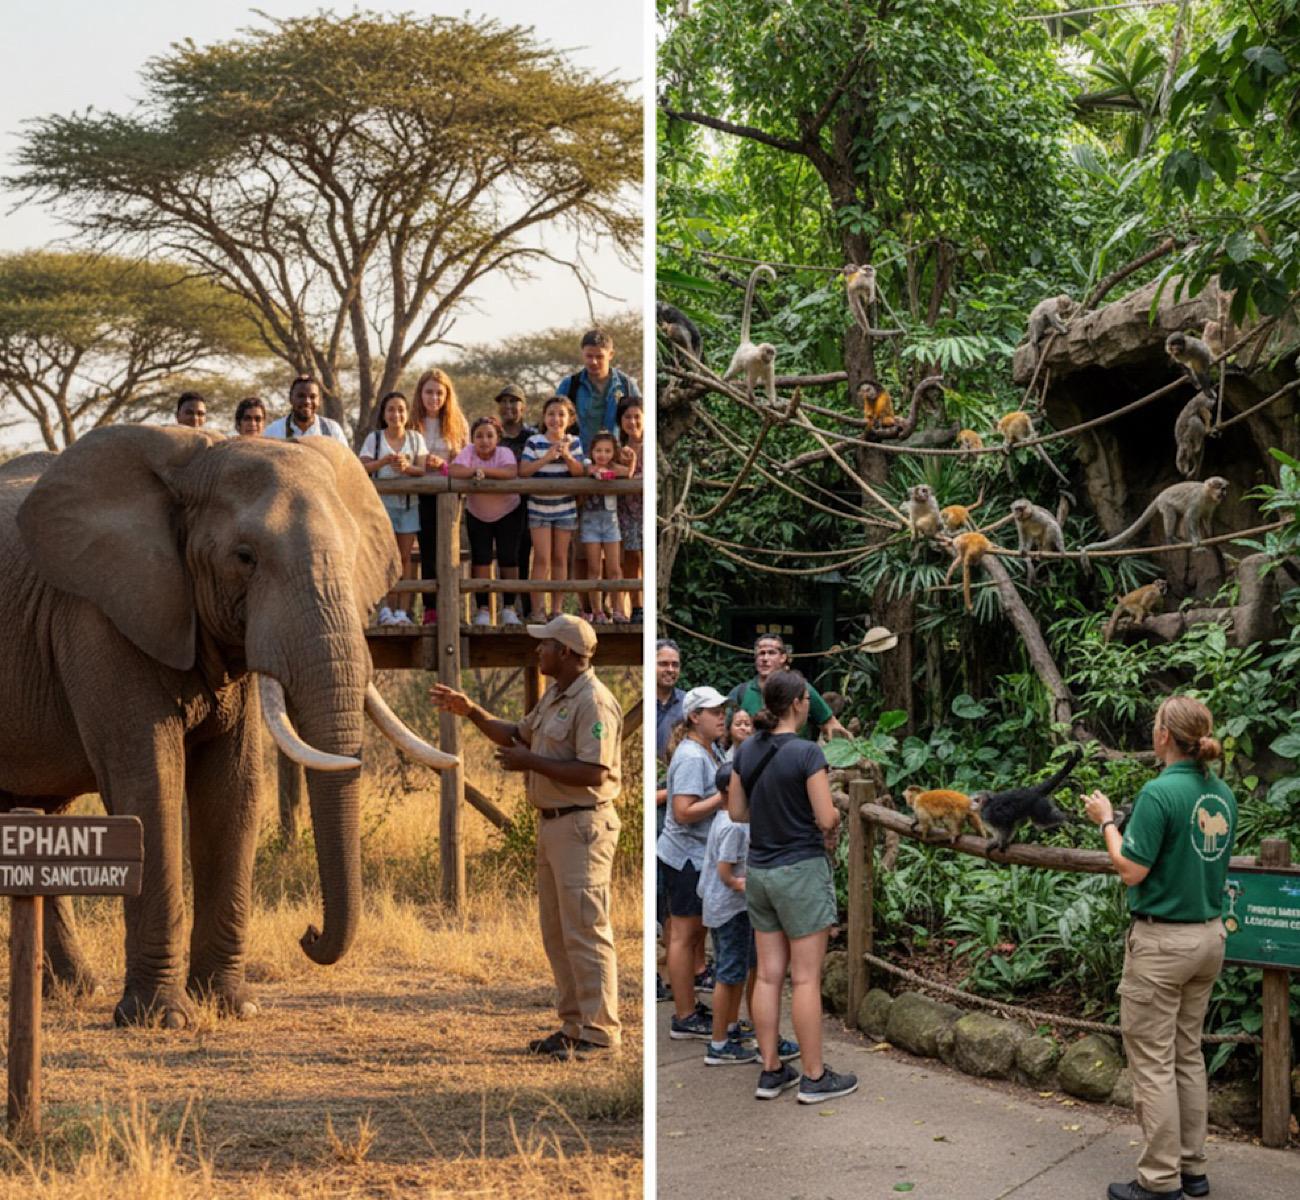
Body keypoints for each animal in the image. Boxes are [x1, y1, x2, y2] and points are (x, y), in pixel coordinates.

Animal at [0, 426, 456, 1027]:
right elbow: (150, 785)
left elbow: (232, 789)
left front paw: (233, 1005)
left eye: (353, 556)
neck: (197, 455)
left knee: (38, 814)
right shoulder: (97, 617)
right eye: (245, 558)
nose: (308, 933)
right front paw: (160, 1019)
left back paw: (72, 989)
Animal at [724, 264, 778, 407]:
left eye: (772, 353)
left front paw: (772, 403)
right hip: (738, 358)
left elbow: (769, 384)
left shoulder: (769, 367)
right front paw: (751, 395)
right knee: (735, 370)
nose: (771, 356)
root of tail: (746, 344)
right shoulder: (753, 361)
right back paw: (726, 380)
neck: (761, 360)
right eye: (768, 352)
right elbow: (750, 378)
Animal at [1082, 477, 1229, 556]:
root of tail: (1160, 495)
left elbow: (1206, 519)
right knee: (1171, 514)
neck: (1208, 495)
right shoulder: (1197, 498)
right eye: (1221, 488)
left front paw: (1211, 537)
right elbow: (1190, 517)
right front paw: (1195, 541)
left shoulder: (1212, 504)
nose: (1224, 493)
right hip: (1164, 503)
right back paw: (1171, 538)